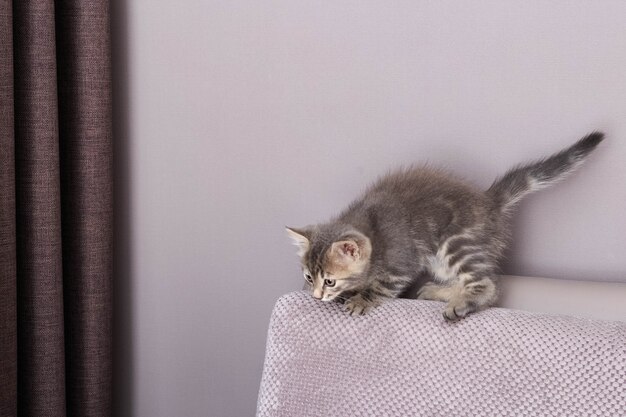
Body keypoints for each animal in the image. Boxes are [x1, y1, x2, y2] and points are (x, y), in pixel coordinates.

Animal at [286, 132, 604, 320]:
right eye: (309, 277)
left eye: (329, 280)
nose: (316, 295)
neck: (370, 230)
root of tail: (489, 201)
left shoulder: (401, 261)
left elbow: (383, 285)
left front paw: (361, 299)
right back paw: (440, 292)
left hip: (455, 242)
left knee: (489, 284)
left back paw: (460, 304)